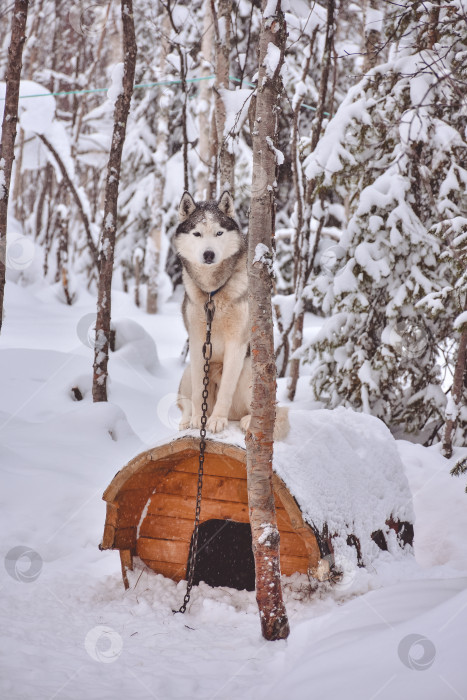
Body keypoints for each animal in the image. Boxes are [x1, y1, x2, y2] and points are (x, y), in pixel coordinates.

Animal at [173, 189, 288, 434]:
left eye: (219, 233)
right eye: (197, 234)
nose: (208, 254)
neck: (212, 293)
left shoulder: (237, 342)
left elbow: (226, 388)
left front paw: (217, 420)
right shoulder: (197, 341)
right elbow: (197, 391)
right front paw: (197, 418)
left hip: (249, 369)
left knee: (260, 407)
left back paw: (247, 420)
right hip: (187, 371)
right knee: (186, 400)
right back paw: (188, 419)